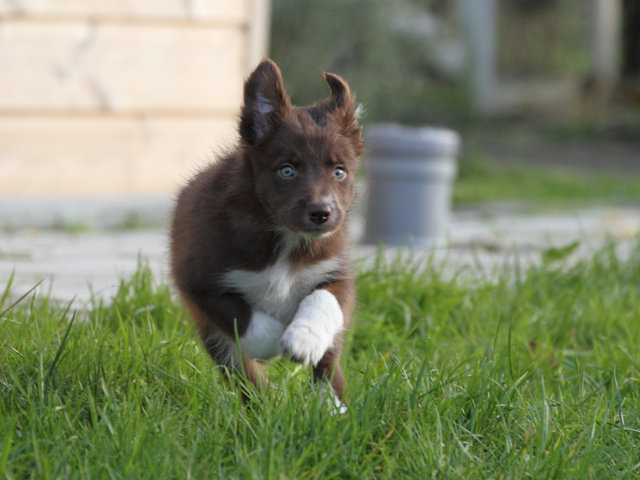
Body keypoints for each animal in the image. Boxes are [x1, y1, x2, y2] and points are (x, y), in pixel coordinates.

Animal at [170, 59, 363, 408]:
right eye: (287, 170)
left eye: (339, 172)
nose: (322, 213)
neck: (286, 239)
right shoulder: (199, 282)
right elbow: (243, 319)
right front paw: (276, 341)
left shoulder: (336, 272)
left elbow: (324, 301)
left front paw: (303, 337)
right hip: (212, 334)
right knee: (242, 374)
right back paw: (265, 407)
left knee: (329, 362)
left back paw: (330, 407)